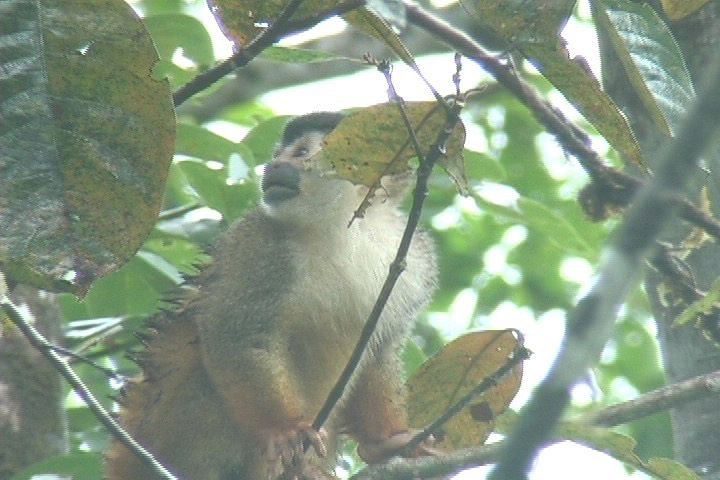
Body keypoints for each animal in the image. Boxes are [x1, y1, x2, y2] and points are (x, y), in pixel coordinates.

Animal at [103, 113, 436, 480]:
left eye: (301, 152)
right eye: (280, 154)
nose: (274, 165)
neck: (343, 229)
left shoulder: (416, 260)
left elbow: (380, 352)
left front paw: (385, 441)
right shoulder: (259, 241)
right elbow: (237, 333)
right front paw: (284, 428)